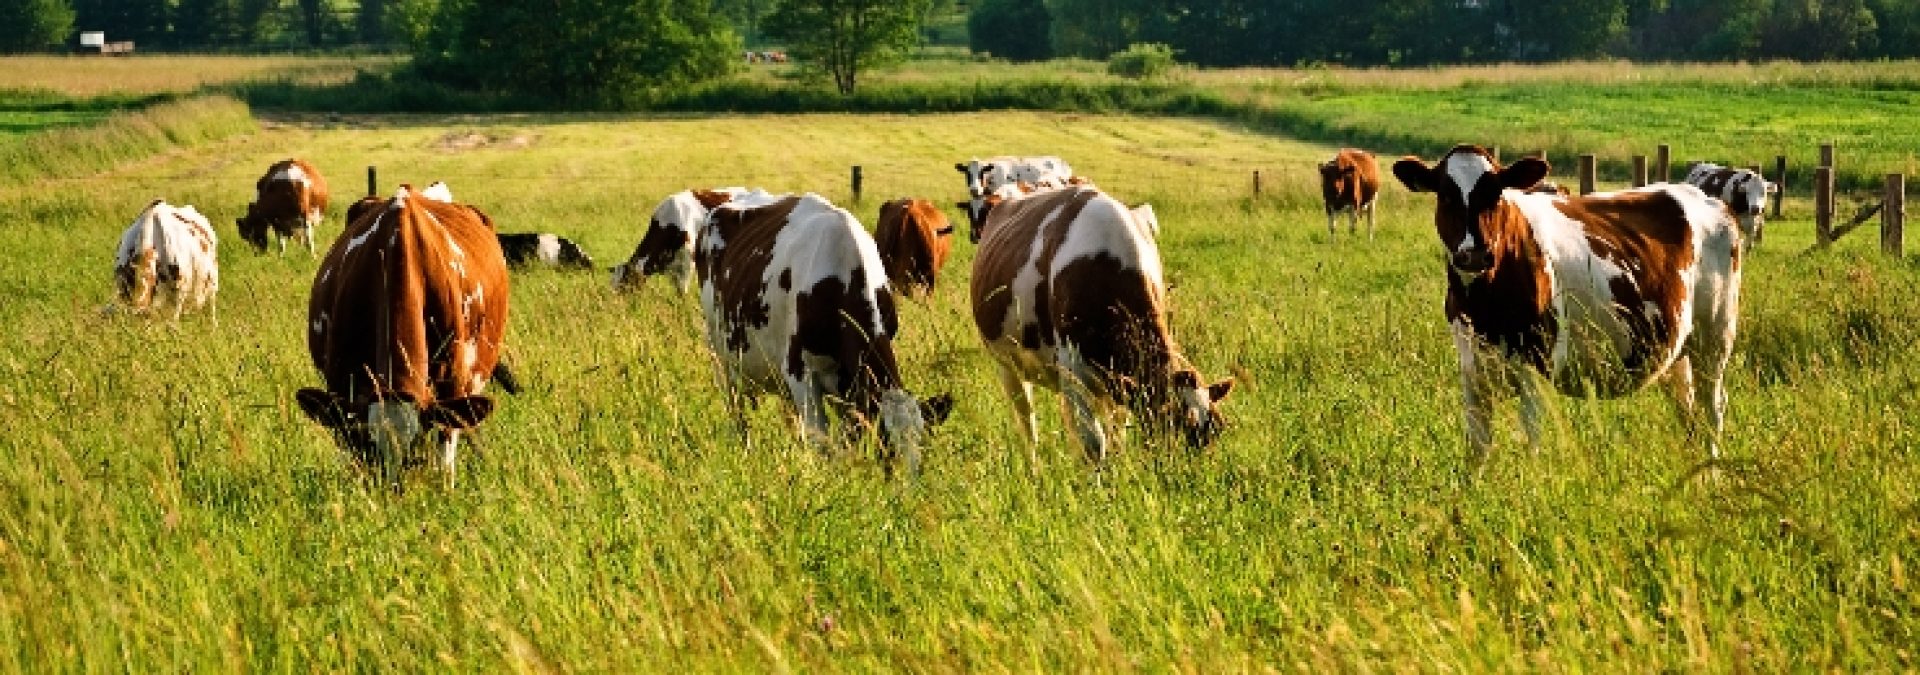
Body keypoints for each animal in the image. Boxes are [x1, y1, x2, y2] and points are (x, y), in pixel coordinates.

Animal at [295, 179, 514, 485]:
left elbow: (445, 453)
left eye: (415, 451)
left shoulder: (451, 382)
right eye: (370, 447)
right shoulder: (341, 384)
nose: (394, 490)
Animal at [698, 190, 952, 475]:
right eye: (886, 447)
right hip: (719, 355)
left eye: (922, 451)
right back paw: (747, 451)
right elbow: (822, 444)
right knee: (737, 413)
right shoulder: (800, 372)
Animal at [967, 184, 1236, 458]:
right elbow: (1094, 444)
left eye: (1217, 429)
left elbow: (1116, 435)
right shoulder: (1072, 372)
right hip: (1008, 365)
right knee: (1027, 427)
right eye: (1168, 423)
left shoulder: (1121, 382)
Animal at [1390, 143, 1751, 469]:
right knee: (1688, 412)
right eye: (1446, 196)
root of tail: (1705, 198)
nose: (1474, 255)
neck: (1483, 307)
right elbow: (1477, 449)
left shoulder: (1536, 365)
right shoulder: (1472, 369)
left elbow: (1531, 442)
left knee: (1712, 409)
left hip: (1714, 339)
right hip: (1677, 350)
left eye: (1495, 194)